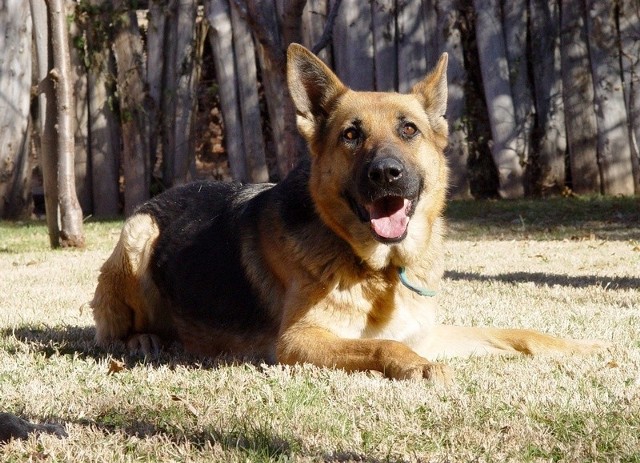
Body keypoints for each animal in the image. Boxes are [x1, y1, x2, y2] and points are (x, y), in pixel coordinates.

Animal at [89, 44, 604, 384]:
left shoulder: (426, 331)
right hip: (138, 235)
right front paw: (417, 368)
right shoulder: (299, 340)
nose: (387, 174)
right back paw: (142, 341)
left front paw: (578, 347)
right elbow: (380, 343)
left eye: (409, 129)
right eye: (351, 135)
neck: (383, 270)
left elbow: (518, 333)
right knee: (111, 333)